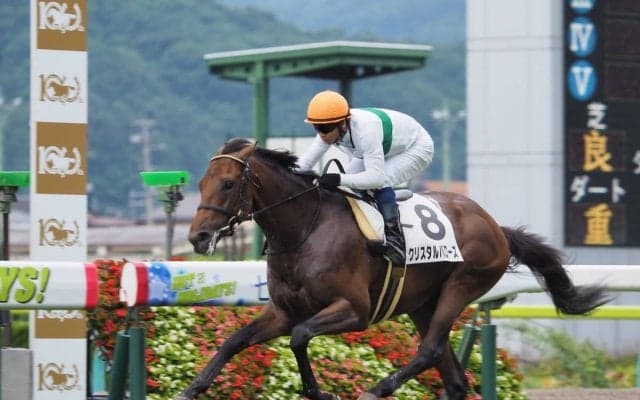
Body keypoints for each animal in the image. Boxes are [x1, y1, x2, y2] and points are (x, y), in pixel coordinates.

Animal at [180, 137, 609, 400]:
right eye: (200, 182)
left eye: (228, 183)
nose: (198, 237)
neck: (305, 230)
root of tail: (495, 226)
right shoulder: (284, 310)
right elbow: (236, 340)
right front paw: (193, 387)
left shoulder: (354, 310)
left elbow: (300, 337)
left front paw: (320, 391)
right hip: (423, 304)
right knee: (452, 375)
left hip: (463, 284)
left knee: (429, 350)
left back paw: (378, 387)